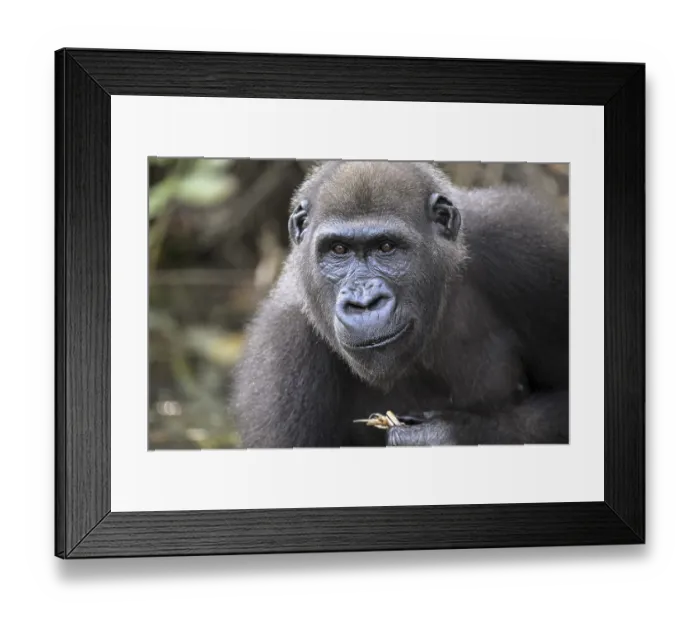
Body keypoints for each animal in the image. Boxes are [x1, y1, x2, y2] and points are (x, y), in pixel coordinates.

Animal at [231, 161, 569, 448]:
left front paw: (451, 434)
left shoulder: (526, 243)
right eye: (338, 250)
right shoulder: (280, 357)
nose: (364, 302)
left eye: (386, 247)